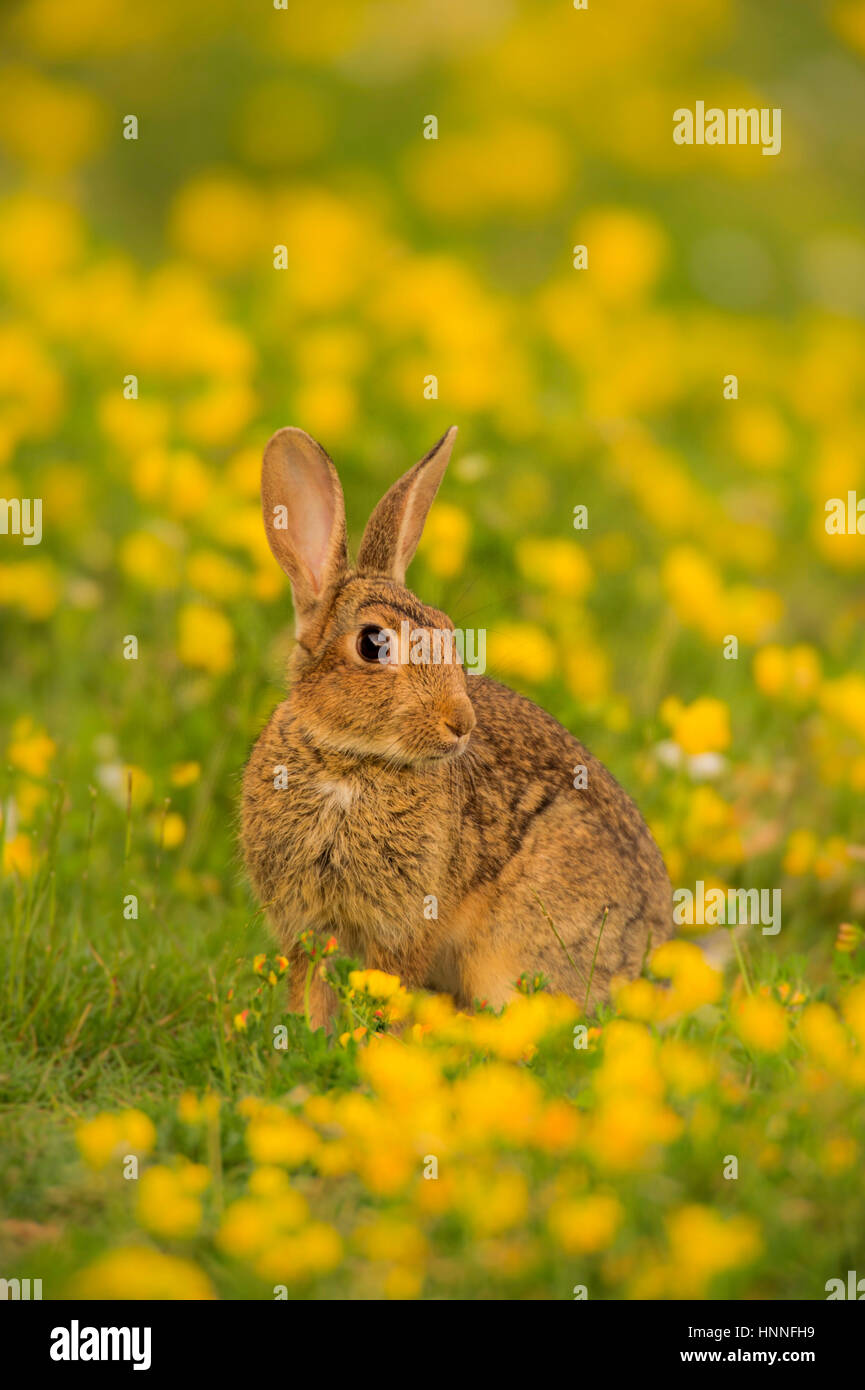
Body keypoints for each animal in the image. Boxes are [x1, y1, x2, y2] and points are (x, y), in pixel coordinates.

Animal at [242, 425, 672, 1028]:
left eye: (448, 630)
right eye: (373, 644)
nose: (461, 723)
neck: (349, 765)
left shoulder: (408, 925)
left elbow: (389, 988)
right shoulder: (306, 926)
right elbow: (310, 991)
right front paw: (309, 1039)